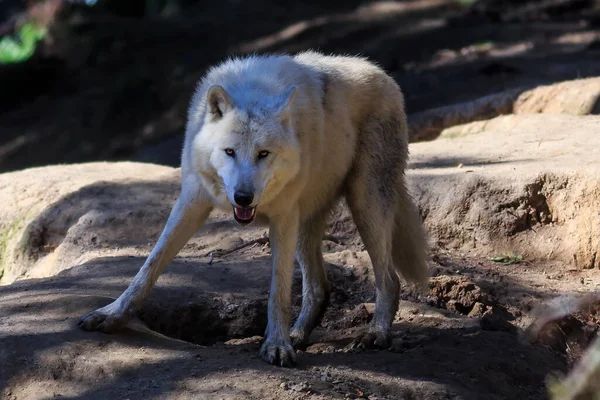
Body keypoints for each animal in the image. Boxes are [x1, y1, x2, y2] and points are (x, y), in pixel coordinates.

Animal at [77, 51, 428, 368]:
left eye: (263, 154)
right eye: (229, 152)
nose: (243, 197)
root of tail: (382, 73)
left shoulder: (283, 216)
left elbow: (278, 291)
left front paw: (277, 345)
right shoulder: (192, 200)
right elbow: (149, 266)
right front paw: (111, 315)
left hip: (365, 203)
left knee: (388, 279)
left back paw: (375, 333)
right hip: (309, 222)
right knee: (319, 287)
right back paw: (299, 334)